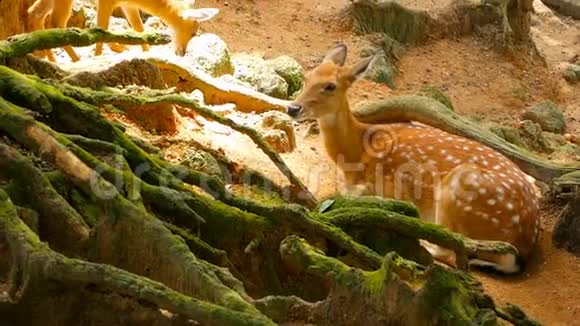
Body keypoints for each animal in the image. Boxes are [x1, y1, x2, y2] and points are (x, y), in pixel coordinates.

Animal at [288, 42, 540, 274]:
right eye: (307, 77)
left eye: (330, 86)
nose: (293, 108)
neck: (358, 150)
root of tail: (526, 242)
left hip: (460, 189)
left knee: (452, 251)